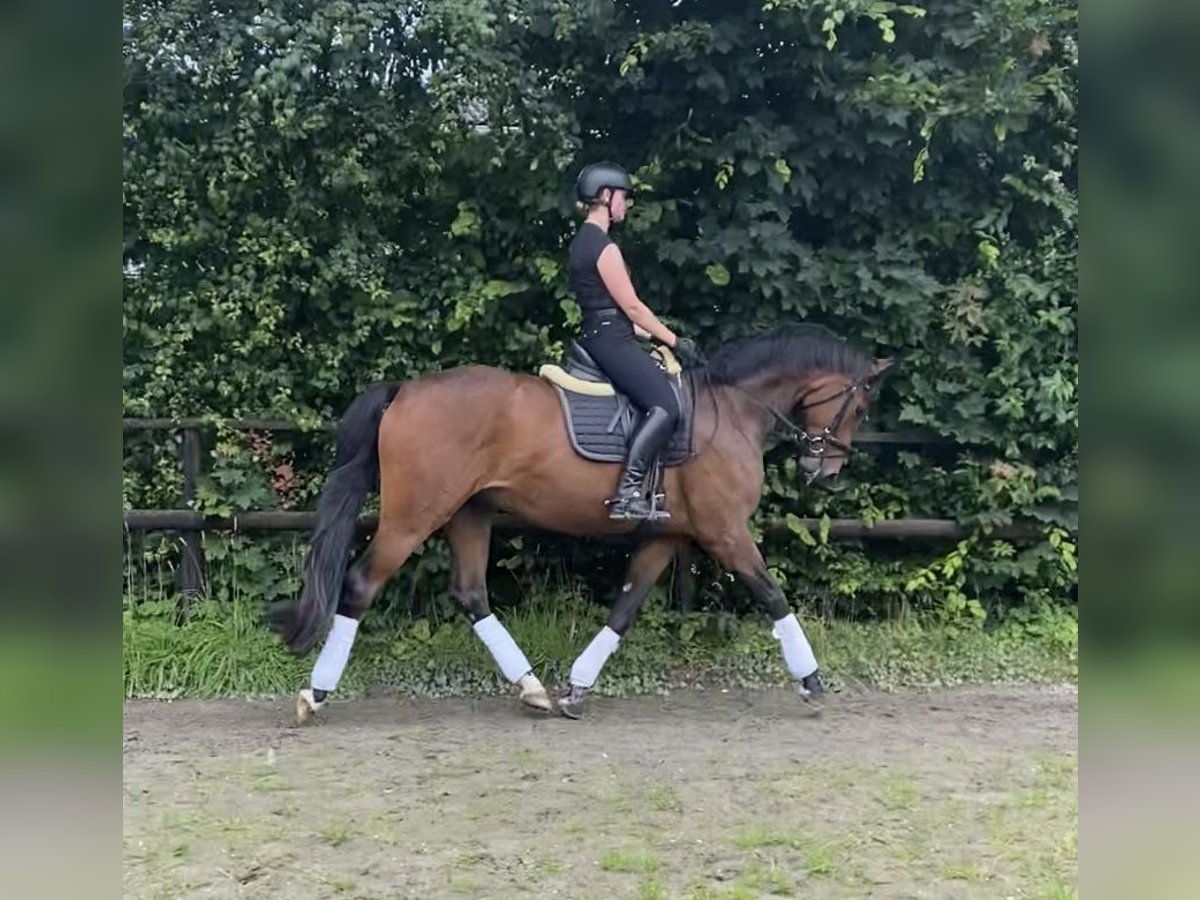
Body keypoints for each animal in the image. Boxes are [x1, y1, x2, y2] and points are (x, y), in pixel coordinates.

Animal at [270, 324, 892, 724]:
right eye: (860, 407)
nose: (823, 470)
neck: (732, 410)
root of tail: (407, 390)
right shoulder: (725, 533)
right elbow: (773, 594)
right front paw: (811, 681)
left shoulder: (667, 535)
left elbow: (625, 608)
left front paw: (575, 689)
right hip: (413, 517)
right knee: (360, 585)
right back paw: (315, 694)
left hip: (471, 513)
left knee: (470, 593)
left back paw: (533, 690)